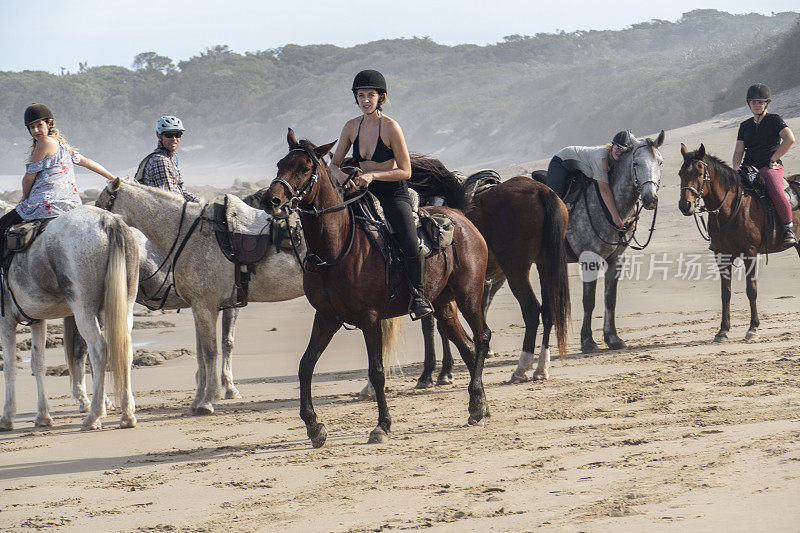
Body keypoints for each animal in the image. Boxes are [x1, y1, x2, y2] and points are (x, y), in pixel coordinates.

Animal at [0, 206, 138, 430]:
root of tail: (107, 220)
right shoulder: (37, 321)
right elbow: (38, 364)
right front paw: (43, 416)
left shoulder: (6, 322)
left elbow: (10, 367)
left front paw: (7, 417)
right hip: (125, 305)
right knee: (125, 349)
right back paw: (127, 414)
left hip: (83, 309)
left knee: (99, 349)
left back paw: (94, 415)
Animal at [262, 131, 490, 446]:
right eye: (280, 164)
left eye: (305, 168)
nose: (271, 199)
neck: (337, 248)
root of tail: (459, 217)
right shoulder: (326, 317)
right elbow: (306, 365)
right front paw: (314, 426)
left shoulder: (370, 319)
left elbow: (377, 371)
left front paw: (382, 425)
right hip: (444, 305)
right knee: (467, 347)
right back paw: (478, 405)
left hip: (469, 296)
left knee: (481, 338)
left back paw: (478, 403)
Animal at [410, 156, 572, 384]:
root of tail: (541, 190)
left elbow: (434, 327)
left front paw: (434, 374)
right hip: (544, 263)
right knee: (549, 311)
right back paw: (541, 367)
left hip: (515, 269)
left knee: (532, 310)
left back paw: (521, 368)